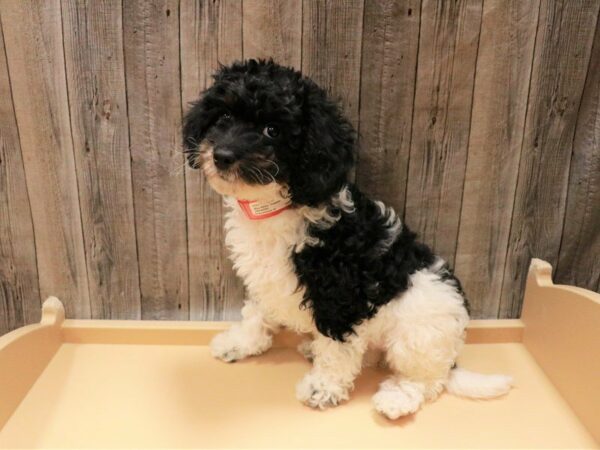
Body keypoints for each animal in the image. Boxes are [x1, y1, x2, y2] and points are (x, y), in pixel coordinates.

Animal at [183, 59, 510, 418]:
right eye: (224, 116)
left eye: (273, 130)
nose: (223, 155)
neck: (275, 205)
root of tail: (452, 360)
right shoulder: (265, 277)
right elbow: (257, 312)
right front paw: (239, 342)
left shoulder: (340, 292)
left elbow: (337, 344)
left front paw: (322, 388)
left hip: (419, 332)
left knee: (426, 380)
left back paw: (397, 397)